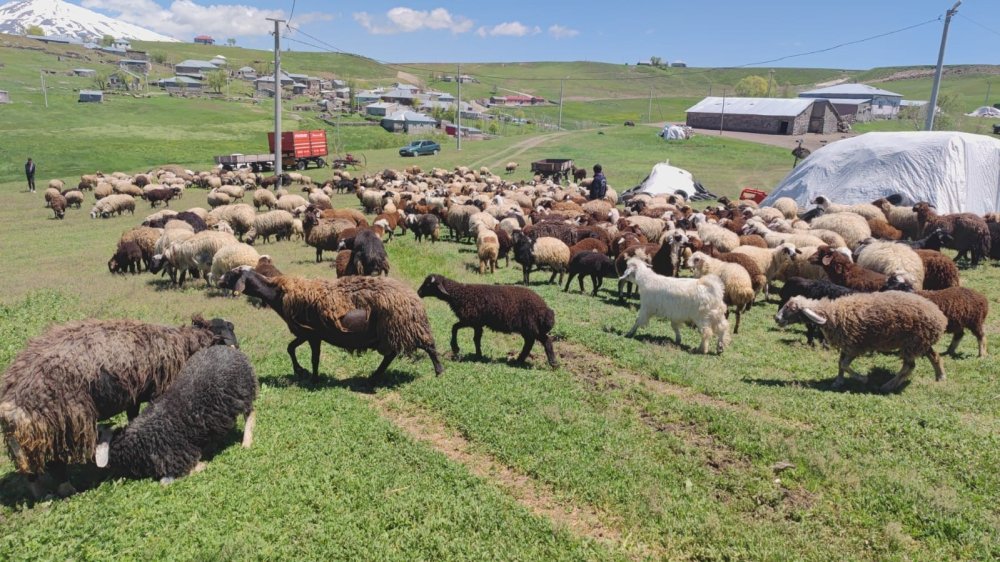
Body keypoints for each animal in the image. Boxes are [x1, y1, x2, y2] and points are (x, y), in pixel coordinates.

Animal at [0, 316, 236, 494]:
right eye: (224, 337)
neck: (183, 343)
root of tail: (11, 400)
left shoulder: (134, 396)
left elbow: (134, 417)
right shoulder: (157, 391)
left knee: (31, 467)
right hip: (64, 421)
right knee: (56, 462)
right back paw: (65, 488)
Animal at [94, 346, 258, 482]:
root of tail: (230, 349)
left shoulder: (180, 459)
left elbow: (193, 469)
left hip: (243, 391)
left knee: (250, 413)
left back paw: (246, 442)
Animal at [221, 266, 444, 380]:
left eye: (232, 274)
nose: (219, 279)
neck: (279, 294)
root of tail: (415, 299)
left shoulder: (312, 334)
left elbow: (312, 357)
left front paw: (312, 378)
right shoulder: (307, 333)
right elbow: (291, 349)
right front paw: (302, 372)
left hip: (404, 326)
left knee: (429, 346)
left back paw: (439, 372)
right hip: (391, 331)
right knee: (391, 355)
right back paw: (375, 375)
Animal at [416, 272, 564, 368]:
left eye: (428, 284)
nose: (418, 293)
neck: (459, 294)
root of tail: (545, 309)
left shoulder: (471, 319)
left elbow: (454, 327)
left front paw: (456, 348)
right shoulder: (477, 324)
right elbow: (476, 339)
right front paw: (478, 355)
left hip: (531, 326)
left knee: (545, 340)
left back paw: (553, 363)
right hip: (528, 328)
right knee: (529, 342)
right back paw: (519, 360)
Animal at [772, 290, 944, 392]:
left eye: (792, 309)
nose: (777, 318)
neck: (833, 313)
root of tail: (940, 317)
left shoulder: (856, 346)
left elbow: (844, 364)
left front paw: (862, 379)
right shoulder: (846, 345)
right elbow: (840, 363)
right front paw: (838, 381)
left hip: (912, 342)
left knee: (909, 366)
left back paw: (888, 386)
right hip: (921, 341)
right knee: (934, 356)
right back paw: (940, 377)